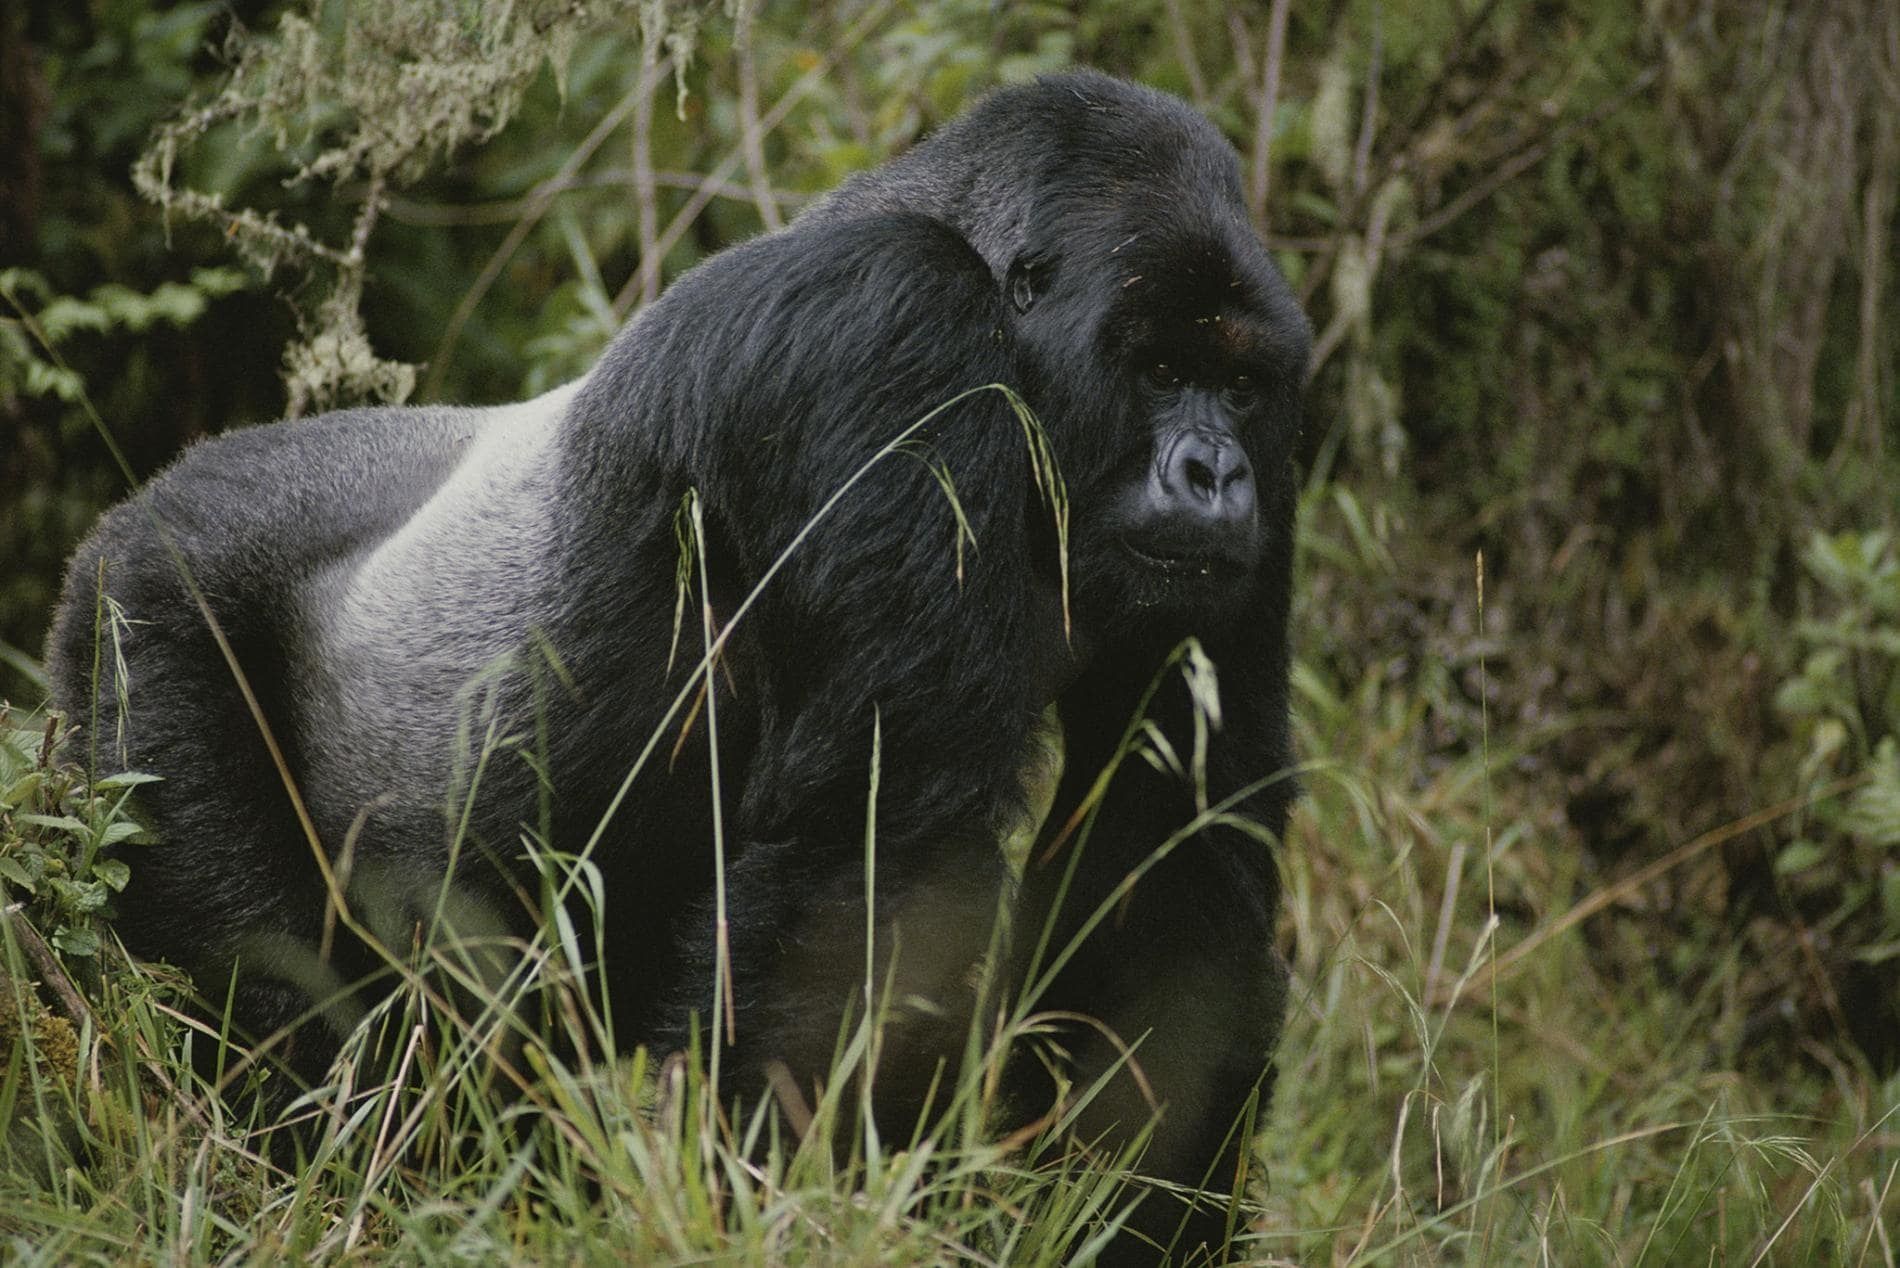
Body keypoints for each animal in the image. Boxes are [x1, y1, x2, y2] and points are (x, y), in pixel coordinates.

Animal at [52, 71, 1314, 1268]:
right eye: (1157, 368)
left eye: (1238, 386)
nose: (1214, 475)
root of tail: (131, 507)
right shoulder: (886, 325)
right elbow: (865, 867)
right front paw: (792, 1215)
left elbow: (1173, 869)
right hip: (139, 623)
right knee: (285, 1001)